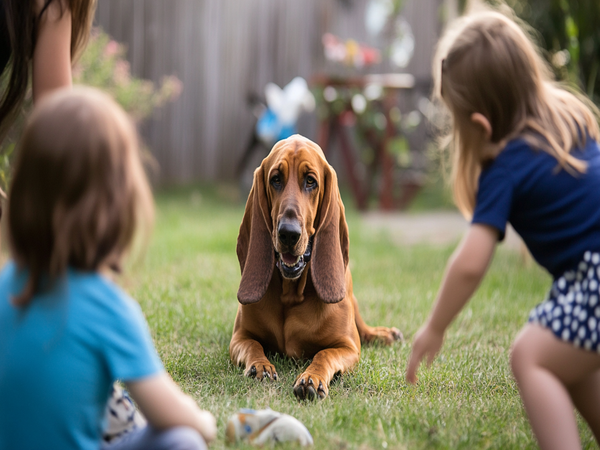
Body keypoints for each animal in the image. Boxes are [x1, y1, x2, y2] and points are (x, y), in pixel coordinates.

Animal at [231, 134, 404, 400]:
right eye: (275, 179)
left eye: (310, 181)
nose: (288, 233)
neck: (291, 294)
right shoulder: (239, 337)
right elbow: (253, 344)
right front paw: (260, 365)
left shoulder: (348, 346)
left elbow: (324, 353)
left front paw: (311, 377)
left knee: (362, 327)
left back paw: (382, 334)